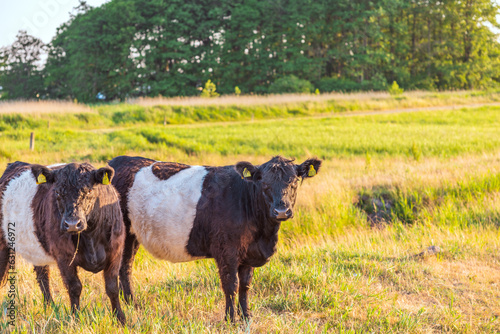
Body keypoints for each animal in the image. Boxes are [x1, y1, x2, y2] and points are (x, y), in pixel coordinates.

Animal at [0, 162, 127, 324]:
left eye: (89, 191)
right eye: (58, 193)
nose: (72, 224)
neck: (90, 238)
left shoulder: (116, 253)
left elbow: (112, 288)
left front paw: (121, 319)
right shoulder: (64, 258)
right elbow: (74, 287)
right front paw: (75, 318)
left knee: (42, 276)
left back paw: (50, 307)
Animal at [108, 155, 322, 320]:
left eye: (294, 182)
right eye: (265, 184)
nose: (281, 211)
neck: (263, 236)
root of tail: (118, 160)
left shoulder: (248, 253)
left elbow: (245, 286)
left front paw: (246, 316)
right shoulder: (227, 251)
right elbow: (231, 285)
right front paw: (231, 319)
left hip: (132, 236)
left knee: (126, 266)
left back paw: (132, 304)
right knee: (123, 268)